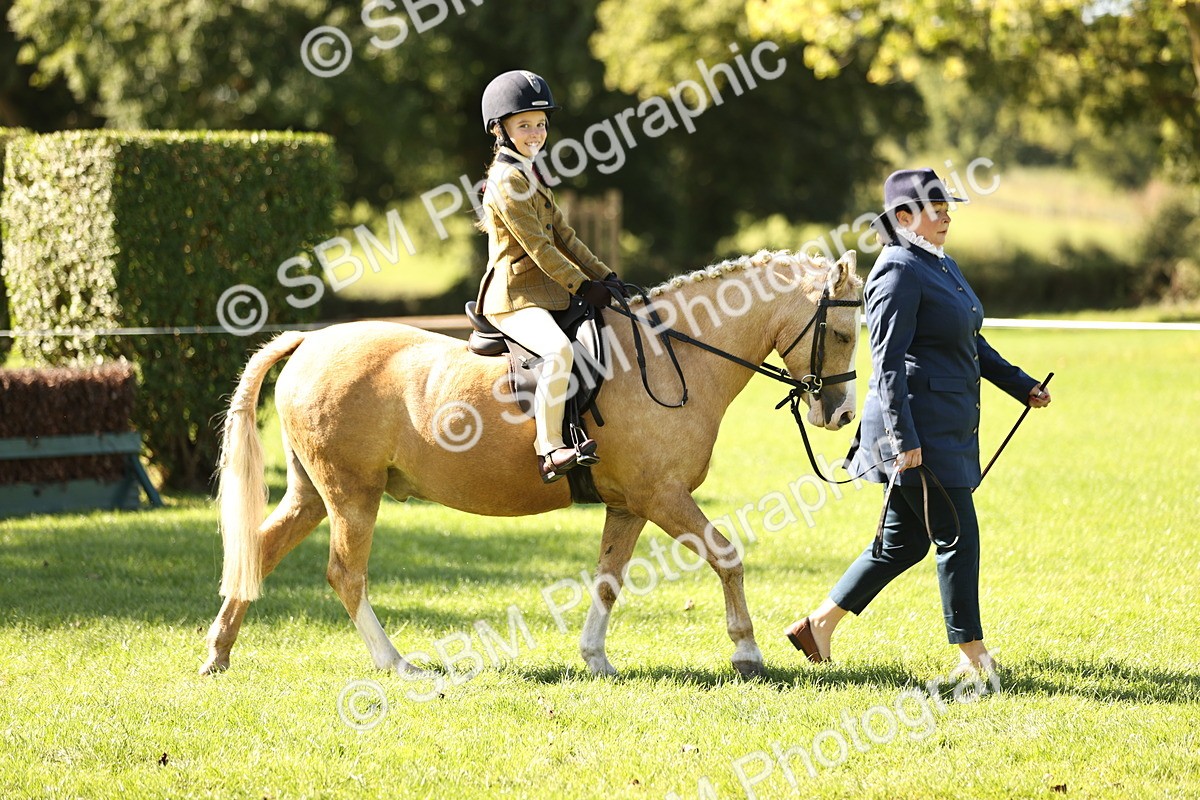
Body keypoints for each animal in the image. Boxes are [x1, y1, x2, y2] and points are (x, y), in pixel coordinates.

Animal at [200, 248, 862, 679]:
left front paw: (595, 659)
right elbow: (727, 555)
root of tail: (310, 341)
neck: (671, 357)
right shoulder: (663, 497)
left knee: (259, 550)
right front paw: (746, 654)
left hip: (313, 495)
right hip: (351, 496)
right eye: (845, 333)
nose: (841, 413)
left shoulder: (630, 505)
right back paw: (396, 664)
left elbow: (608, 578)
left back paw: (218, 653)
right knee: (346, 575)